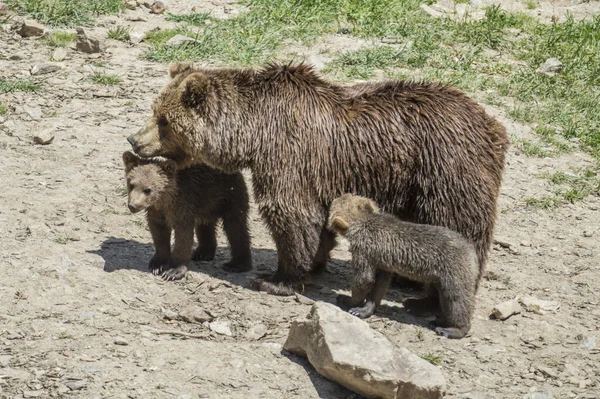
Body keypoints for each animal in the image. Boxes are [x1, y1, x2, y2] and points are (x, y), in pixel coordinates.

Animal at [123, 151, 252, 282]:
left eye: (148, 190)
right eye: (131, 184)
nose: (133, 205)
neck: (165, 201)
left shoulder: (182, 206)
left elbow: (183, 237)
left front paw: (173, 271)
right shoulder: (157, 212)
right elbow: (159, 234)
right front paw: (157, 265)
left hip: (229, 196)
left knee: (235, 227)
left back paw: (236, 264)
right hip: (206, 205)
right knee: (205, 226)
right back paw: (202, 253)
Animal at [328, 195, 478, 340]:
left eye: (335, 202)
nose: (334, 197)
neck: (364, 221)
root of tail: (472, 252)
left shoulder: (364, 249)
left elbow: (364, 279)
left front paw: (349, 302)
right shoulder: (382, 261)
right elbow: (379, 285)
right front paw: (365, 309)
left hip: (455, 271)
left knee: (457, 299)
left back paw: (452, 329)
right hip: (441, 278)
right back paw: (439, 320)